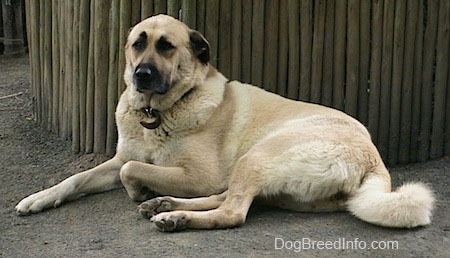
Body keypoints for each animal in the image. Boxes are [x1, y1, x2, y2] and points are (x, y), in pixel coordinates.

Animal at [15, 14, 434, 232]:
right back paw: (164, 204)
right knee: (229, 198)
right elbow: (78, 178)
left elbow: (132, 170)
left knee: (233, 211)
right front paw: (38, 199)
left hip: (259, 155)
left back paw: (173, 215)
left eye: (167, 47)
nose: (141, 75)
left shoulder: (197, 174)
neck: (162, 111)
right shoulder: (118, 159)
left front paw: (139, 190)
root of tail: (374, 160)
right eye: (138, 43)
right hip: (264, 174)